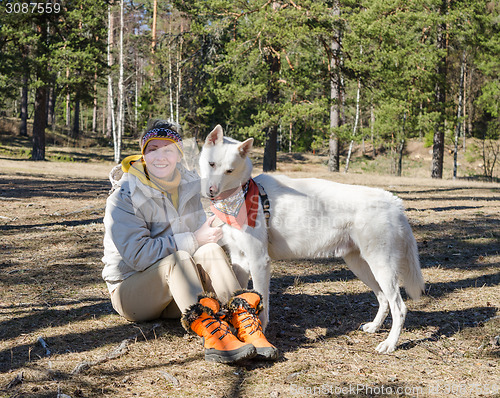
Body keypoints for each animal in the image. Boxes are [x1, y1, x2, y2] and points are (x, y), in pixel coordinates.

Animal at [197, 125, 424, 354]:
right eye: (211, 164)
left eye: (229, 170)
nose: (211, 191)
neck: (240, 197)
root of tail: (394, 202)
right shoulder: (239, 260)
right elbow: (236, 296)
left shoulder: (258, 261)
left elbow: (261, 302)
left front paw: (260, 332)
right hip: (360, 266)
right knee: (383, 298)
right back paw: (375, 327)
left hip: (381, 268)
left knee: (400, 307)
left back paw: (390, 344)